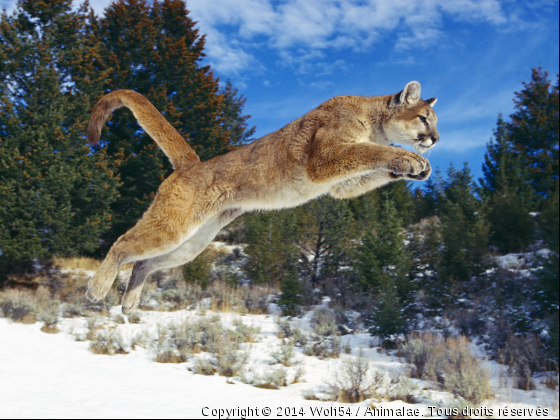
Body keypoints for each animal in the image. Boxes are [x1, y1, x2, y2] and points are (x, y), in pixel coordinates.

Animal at [85, 81, 440, 316]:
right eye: (423, 118)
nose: (436, 139)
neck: (373, 120)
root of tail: (192, 165)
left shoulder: (341, 183)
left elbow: (371, 166)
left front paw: (417, 167)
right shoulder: (323, 159)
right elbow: (371, 151)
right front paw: (411, 159)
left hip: (193, 242)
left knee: (144, 261)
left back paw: (129, 303)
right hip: (174, 224)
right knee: (123, 244)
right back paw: (97, 289)